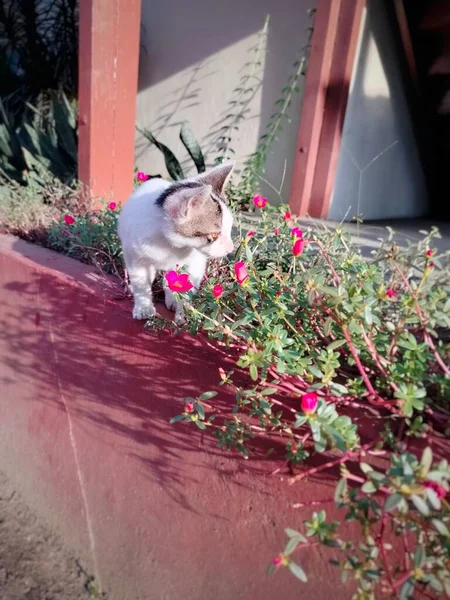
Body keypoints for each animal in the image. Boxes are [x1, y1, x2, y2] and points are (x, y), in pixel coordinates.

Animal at [118, 159, 234, 318]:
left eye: (230, 229)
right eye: (214, 235)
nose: (231, 248)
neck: (170, 245)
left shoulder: (195, 262)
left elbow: (188, 286)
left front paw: (184, 312)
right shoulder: (134, 255)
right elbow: (141, 282)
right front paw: (143, 307)